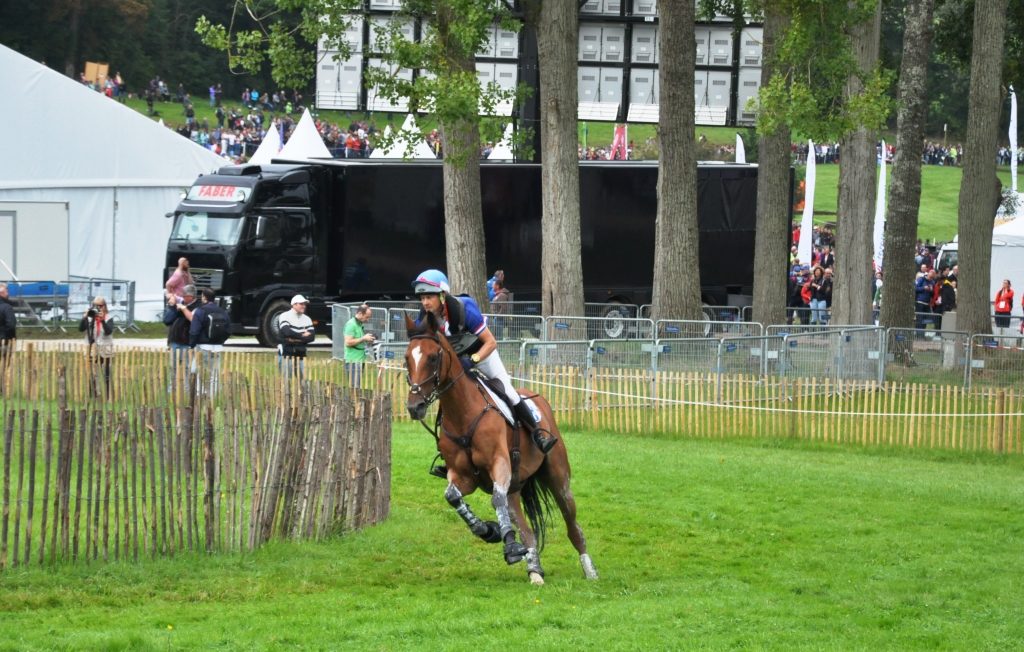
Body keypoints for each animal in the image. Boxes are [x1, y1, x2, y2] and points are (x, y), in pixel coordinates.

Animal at [401, 311, 598, 585]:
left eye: (432, 357)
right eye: (407, 358)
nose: (415, 407)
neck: (463, 412)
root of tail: (541, 400)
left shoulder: (499, 465)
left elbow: (496, 499)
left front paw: (510, 547)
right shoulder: (463, 476)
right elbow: (453, 496)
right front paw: (489, 531)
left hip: (558, 479)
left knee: (572, 525)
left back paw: (590, 571)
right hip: (515, 487)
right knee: (527, 529)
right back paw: (535, 572)